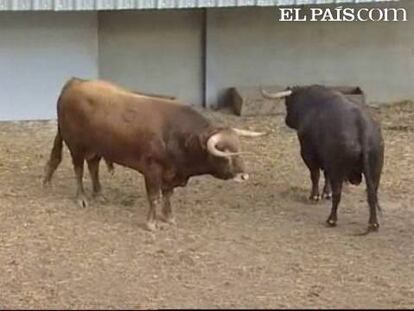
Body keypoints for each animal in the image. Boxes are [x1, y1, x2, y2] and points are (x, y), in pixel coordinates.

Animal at [43, 78, 264, 232]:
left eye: (238, 147)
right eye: (224, 151)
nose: (244, 176)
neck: (177, 134)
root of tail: (75, 82)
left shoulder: (171, 173)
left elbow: (168, 195)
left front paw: (168, 217)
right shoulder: (151, 170)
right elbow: (155, 197)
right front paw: (152, 223)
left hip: (97, 147)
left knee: (93, 165)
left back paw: (99, 193)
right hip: (76, 145)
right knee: (79, 169)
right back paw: (81, 198)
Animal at [264, 85, 384, 234]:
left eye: (287, 103)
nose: (287, 120)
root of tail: (362, 127)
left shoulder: (308, 154)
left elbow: (315, 175)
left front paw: (315, 196)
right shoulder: (327, 160)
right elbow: (326, 175)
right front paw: (326, 193)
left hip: (338, 169)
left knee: (338, 193)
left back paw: (331, 220)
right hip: (375, 171)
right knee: (372, 194)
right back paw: (373, 224)